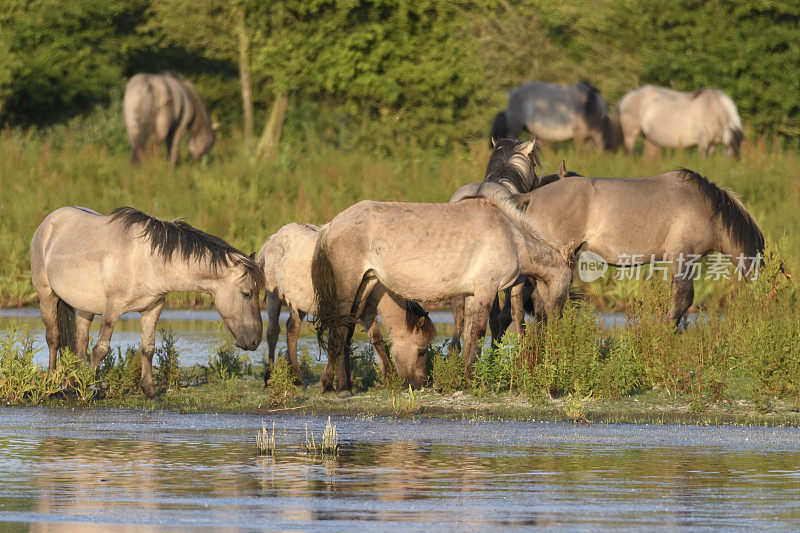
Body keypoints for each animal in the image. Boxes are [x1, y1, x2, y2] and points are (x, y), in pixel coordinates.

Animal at [29, 206, 264, 396]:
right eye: (246, 293)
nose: (254, 341)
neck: (147, 261)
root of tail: (48, 222)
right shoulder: (112, 308)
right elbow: (101, 349)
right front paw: (89, 388)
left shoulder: (153, 308)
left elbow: (148, 348)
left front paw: (149, 390)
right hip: (47, 296)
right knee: (54, 338)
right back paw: (51, 382)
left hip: (85, 307)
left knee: (80, 342)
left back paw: (73, 383)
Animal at [256, 222, 434, 388]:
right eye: (421, 351)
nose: (420, 384)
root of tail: (274, 237)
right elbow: (336, 338)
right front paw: (329, 382)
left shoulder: (365, 312)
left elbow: (375, 339)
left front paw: (388, 378)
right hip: (274, 297)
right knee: (273, 331)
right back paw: (269, 378)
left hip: (299, 304)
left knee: (292, 331)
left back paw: (296, 378)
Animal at [310, 196, 580, 394]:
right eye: (570, 280)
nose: (558, 321)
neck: (512, 236)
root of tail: (332, 225)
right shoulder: (486, 289)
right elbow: (478, 333)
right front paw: (473, 380)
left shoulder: (472, 294)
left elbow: (470, 336)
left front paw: (465, 378)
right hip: (349, 283)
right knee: (340, 329)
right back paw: (343, 388)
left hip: (366, 282)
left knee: (347, 329)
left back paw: (334, 384)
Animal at [616, 85, 748, 158]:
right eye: (729, 153)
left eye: (738, 154)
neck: (712, 110)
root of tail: (624, 99)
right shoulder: (703, 142)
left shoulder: (712, 144)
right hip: (630, 134)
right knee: (628, 153)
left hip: (650, 139)